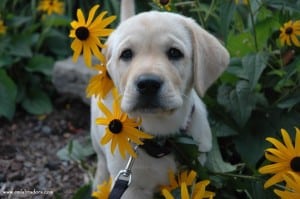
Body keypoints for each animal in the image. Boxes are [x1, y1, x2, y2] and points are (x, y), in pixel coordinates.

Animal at [90, 0, 229, 198]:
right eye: (126, 54)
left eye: (174, 52)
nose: (148, 84)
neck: (160, 134)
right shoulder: (132, 188)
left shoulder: (195, 168)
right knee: (101, 161)